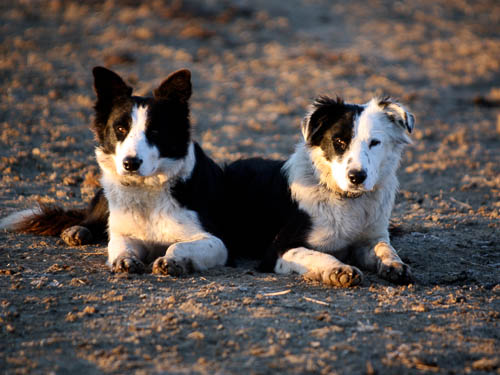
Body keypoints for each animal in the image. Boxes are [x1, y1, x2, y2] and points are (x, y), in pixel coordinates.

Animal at [0, 67, 228, 274]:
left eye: (155, 132)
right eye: (120, 129)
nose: (130, 163)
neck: (146, 189)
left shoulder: (217, 242)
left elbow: (178, 244)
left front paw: (171, 260)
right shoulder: (126, 233)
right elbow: (119, 244)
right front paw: (125, 260)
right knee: (90, 219)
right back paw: (77, 230)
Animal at [225, 97, 416, 288]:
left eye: (375, 143)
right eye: (338, 141)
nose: (357, 177)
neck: (347, 199)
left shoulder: (370, 238)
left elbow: (385, 248)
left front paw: (395, 264)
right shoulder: (278, 250)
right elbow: (316, 254)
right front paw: (339, 269)